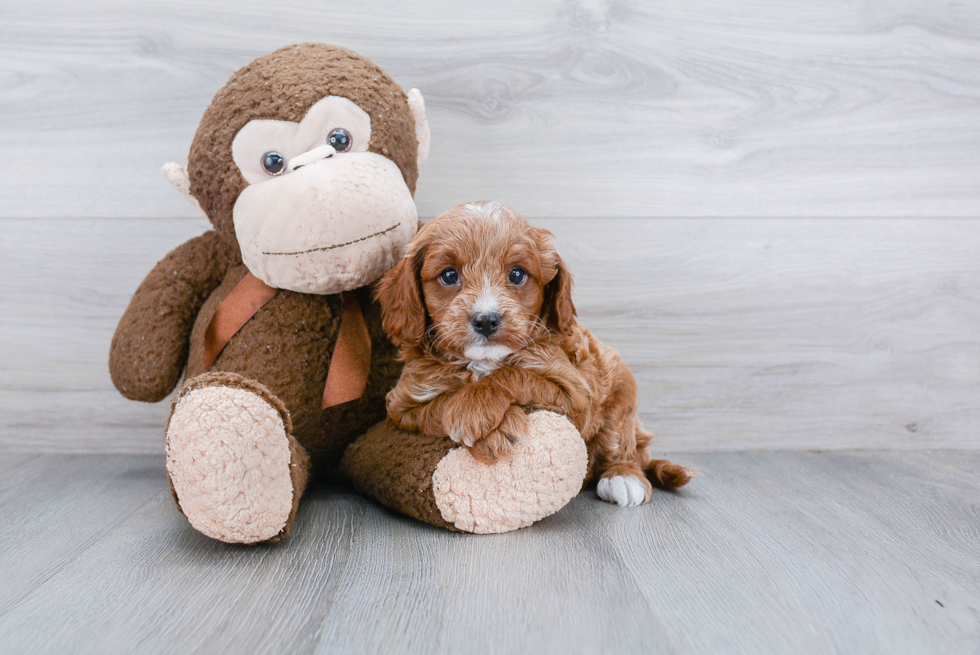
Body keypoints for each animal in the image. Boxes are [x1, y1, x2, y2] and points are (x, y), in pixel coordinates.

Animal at [376, 200, 688, 508]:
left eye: (517, 274)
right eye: (449, 275)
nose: (486, 320)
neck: (483, 359)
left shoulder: (576, 393)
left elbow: (513, 374)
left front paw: (482, 412)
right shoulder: (403, 406)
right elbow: (440, 405)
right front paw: (487, 425)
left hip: (621, 390)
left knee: (622, 443)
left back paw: (623, 477)